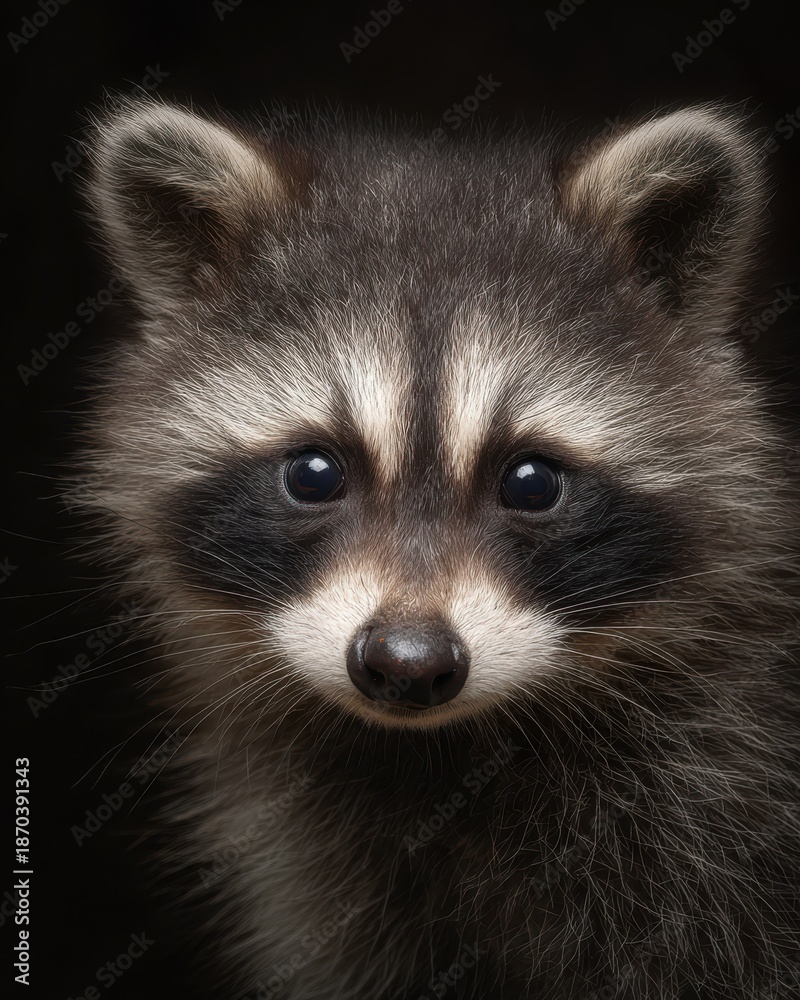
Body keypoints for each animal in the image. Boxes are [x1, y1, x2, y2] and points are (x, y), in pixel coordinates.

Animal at [75, 97, 800, 999]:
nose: (408, 662)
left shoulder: (714, 821)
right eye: (314, 474)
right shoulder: (329, 868)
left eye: (531, 483)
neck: (441, 755)